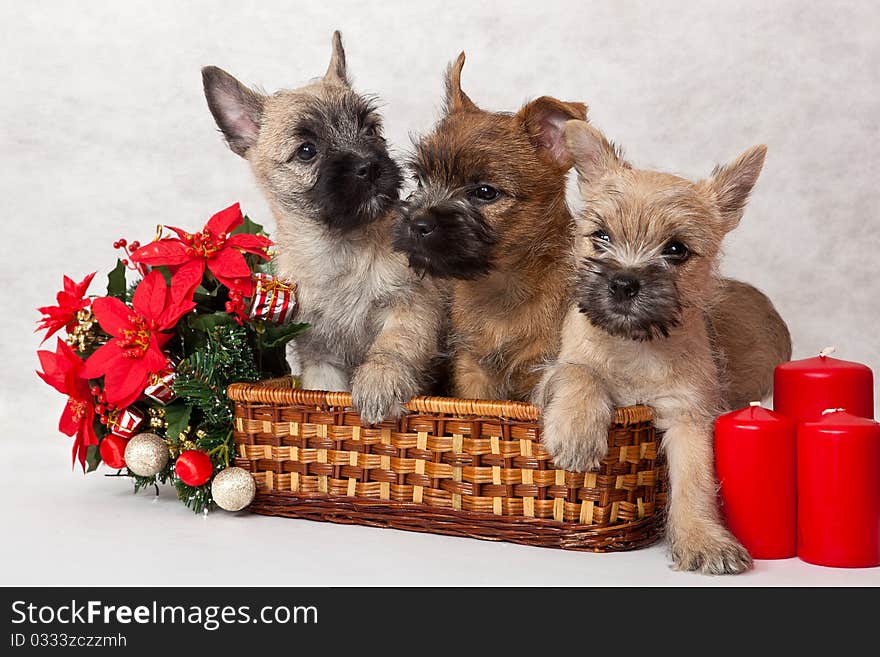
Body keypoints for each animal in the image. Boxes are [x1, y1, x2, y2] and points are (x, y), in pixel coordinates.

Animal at [203, 32, 444, 420]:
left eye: (371, 129)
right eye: (306, 151)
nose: (369, 166)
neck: (341, 248)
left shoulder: (412, 307)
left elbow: (394, 345)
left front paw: (379, 382)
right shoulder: (321, 357)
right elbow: (324, 389)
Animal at [392, 52, 584, 400]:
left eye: (485, 192)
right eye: (421, 179)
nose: (417, 222)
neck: (502, 289)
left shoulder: (539, 368)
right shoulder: (471, 370)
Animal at [536, 120, 768, 572]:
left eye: (676, 249)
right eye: (601, 237)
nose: (623, 282)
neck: (635, 347)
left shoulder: (689, 413)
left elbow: (696, 479)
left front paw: (703, 539)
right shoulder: (554, 371)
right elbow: (580, 371)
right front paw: (577, 431)